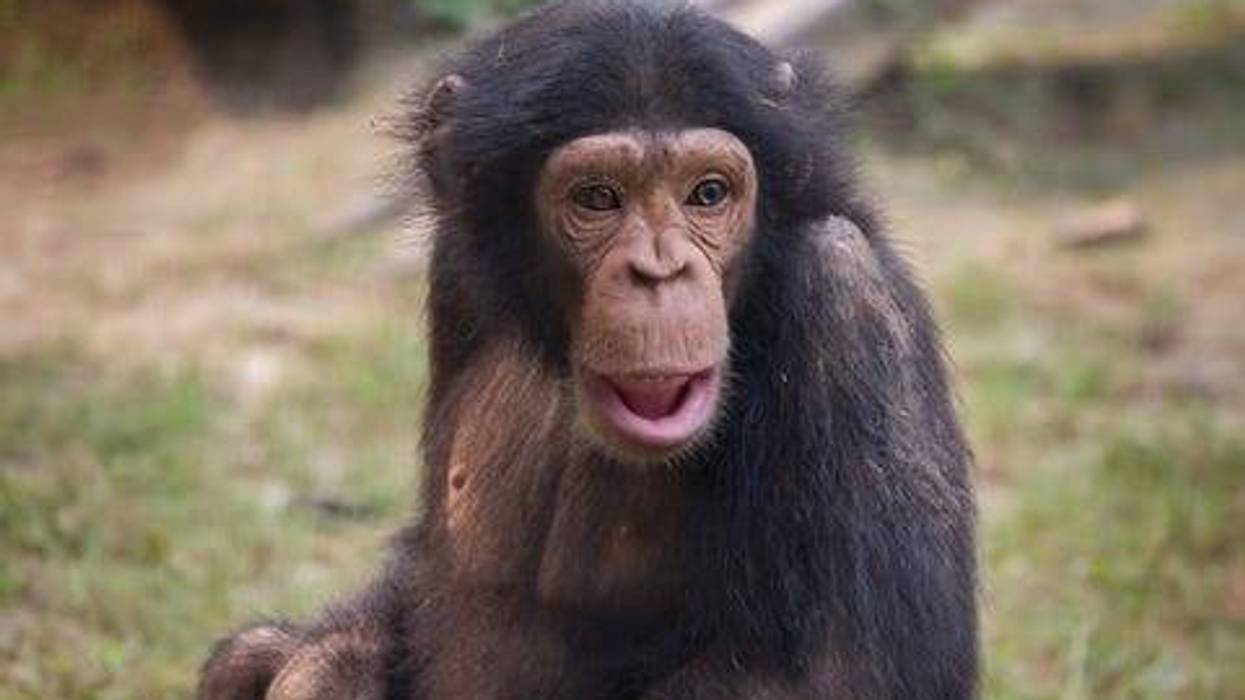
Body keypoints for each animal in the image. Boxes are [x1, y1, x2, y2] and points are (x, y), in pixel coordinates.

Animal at [198, 1, 978, 698]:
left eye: (708, 193)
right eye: (598, 197)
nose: (660, 270)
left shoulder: (846, 306)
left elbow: (834, 671)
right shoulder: (456, 271)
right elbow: (418, 561)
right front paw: (327, 665)